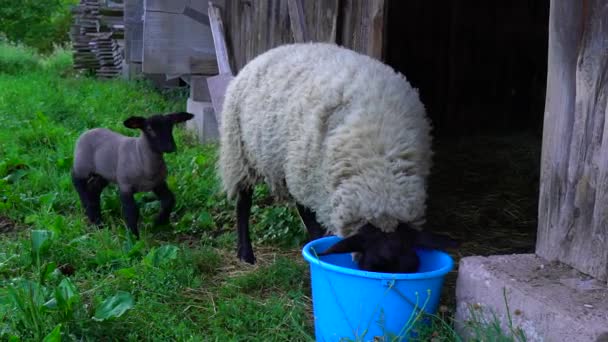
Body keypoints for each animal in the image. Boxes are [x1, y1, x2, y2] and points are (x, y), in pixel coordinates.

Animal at [218, 42, 456, 272]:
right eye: (371, 266)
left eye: (413, 267)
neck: (380, 167)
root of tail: (268, 52)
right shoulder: (311, 177)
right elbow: (310, 219)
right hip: (240, 154)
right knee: (243, 203)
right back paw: (246, 254)